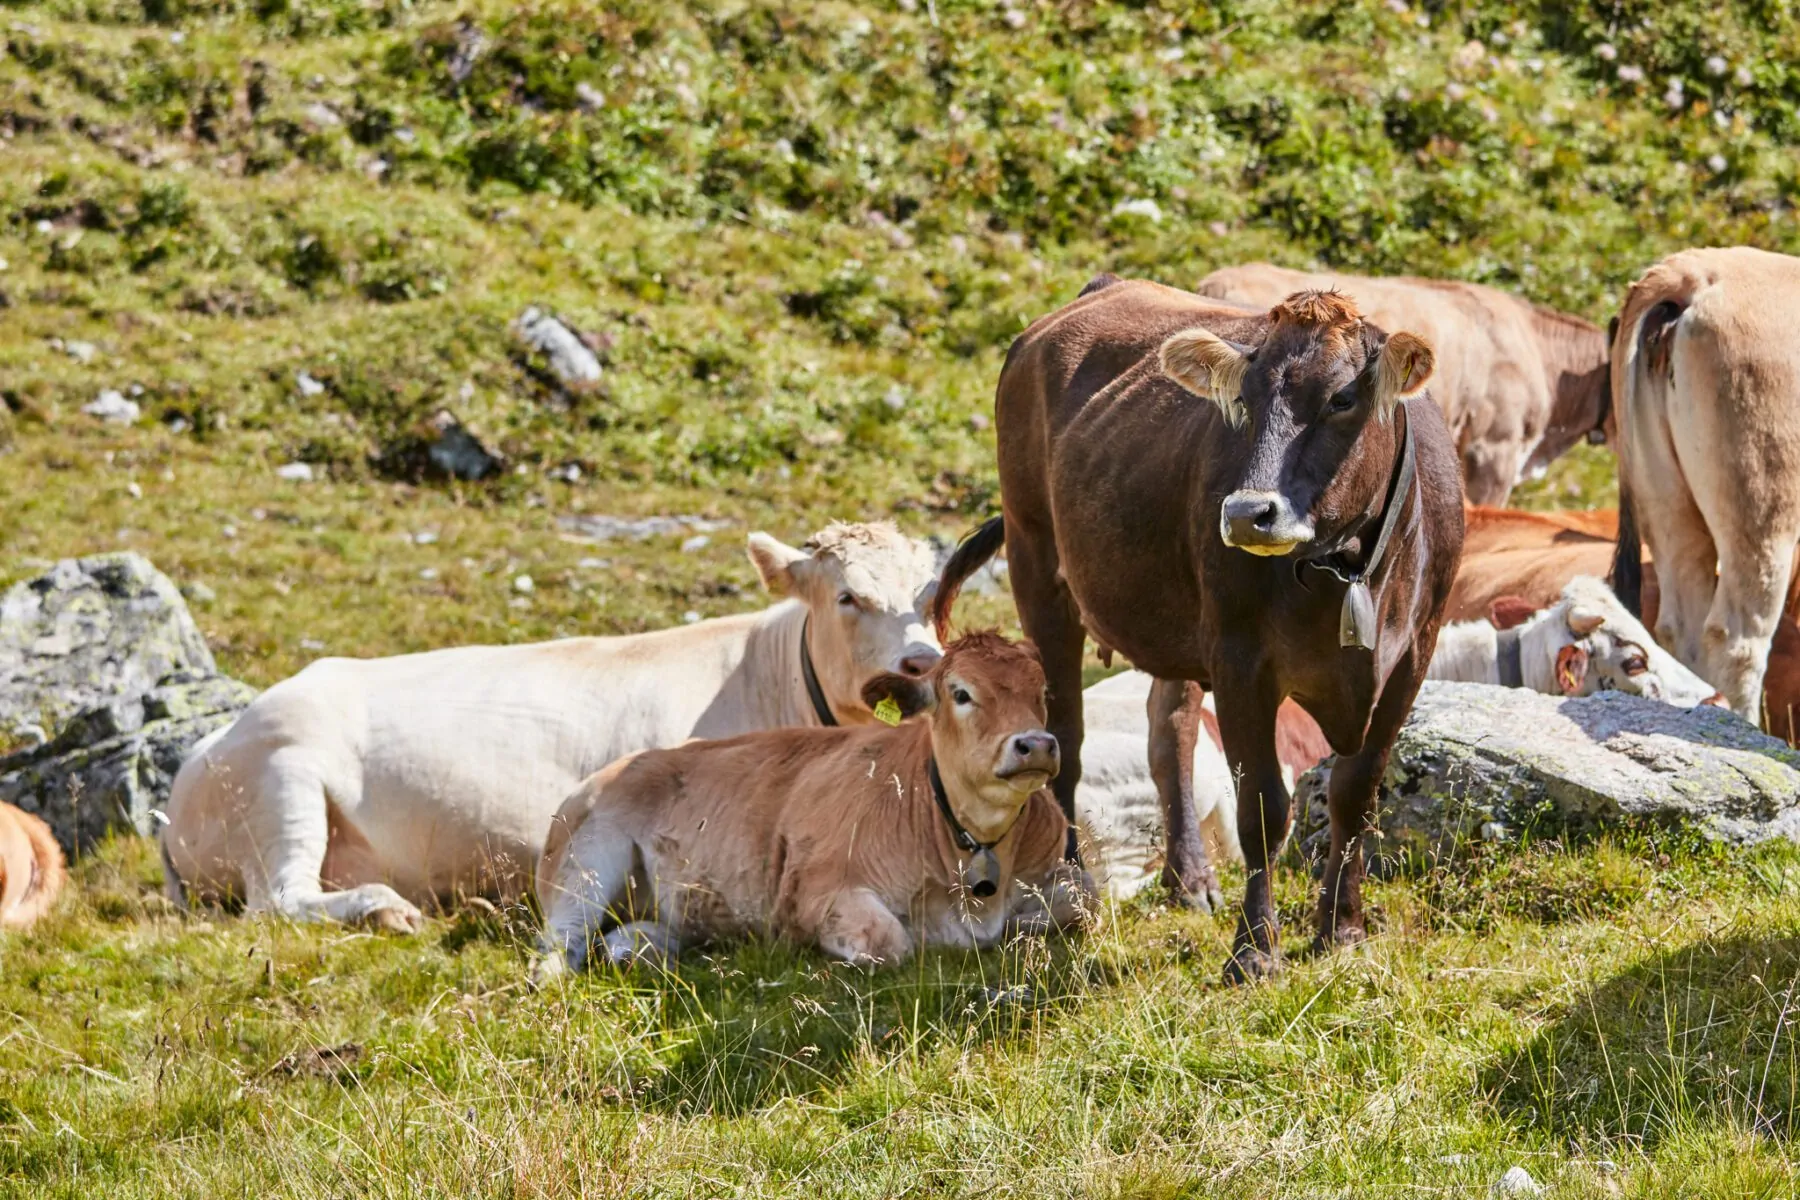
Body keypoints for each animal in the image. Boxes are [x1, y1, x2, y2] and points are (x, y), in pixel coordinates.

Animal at [160, 521, 943, 935]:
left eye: (931, 596)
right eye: (847, 596)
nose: (923, 661)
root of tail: (206, 746)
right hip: (280, 779)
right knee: (277, 900)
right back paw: (387, 910)